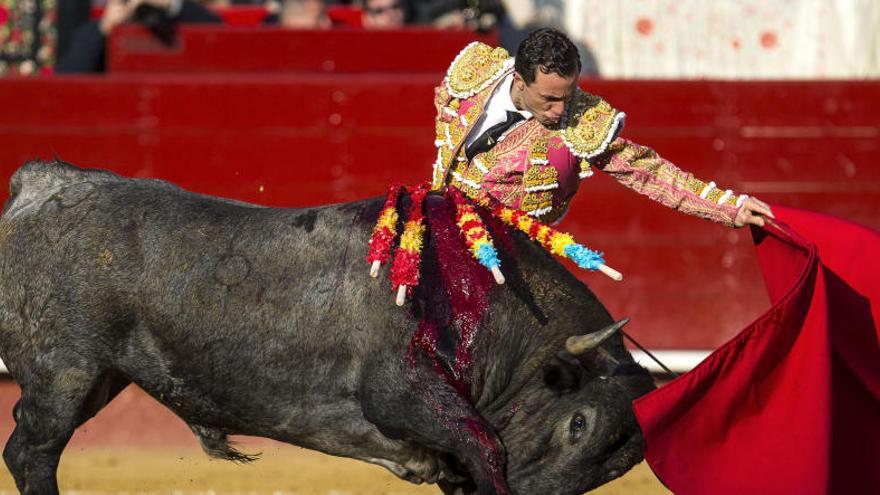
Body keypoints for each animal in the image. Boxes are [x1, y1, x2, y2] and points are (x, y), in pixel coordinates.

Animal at [0, 161, 652, 494]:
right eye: (577, 423)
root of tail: (44, 183)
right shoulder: (403, 395)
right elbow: (487, 450)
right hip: (65, 371)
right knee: (32, 451)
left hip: (101, 376)